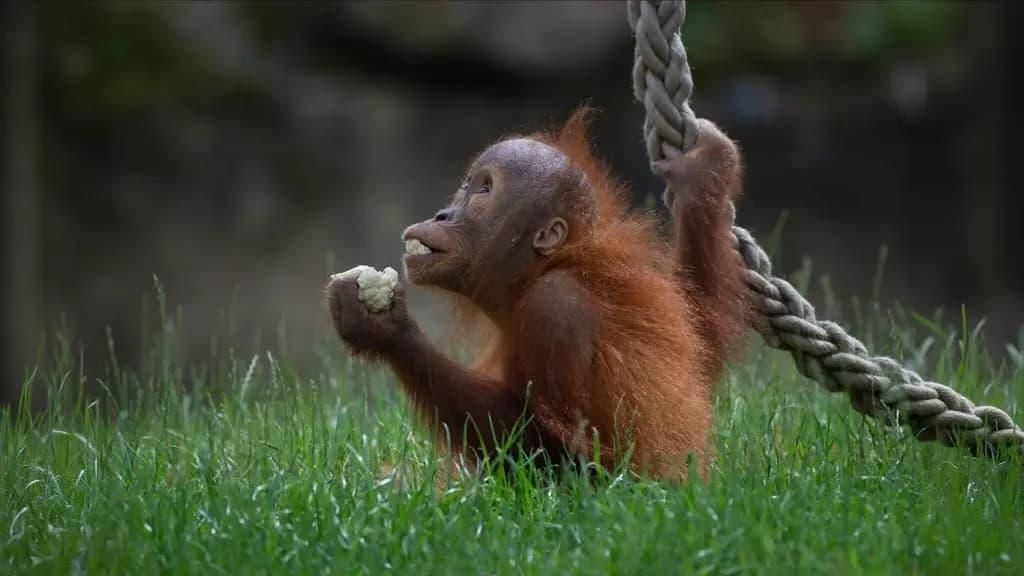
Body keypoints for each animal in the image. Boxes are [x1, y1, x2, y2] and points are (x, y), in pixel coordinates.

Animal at [327, 110, 747, 479]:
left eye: (484, 190)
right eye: (465, 186)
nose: (442, 215)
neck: (543, 270)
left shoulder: (556, 310)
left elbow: (568, 451)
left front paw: (384, 328)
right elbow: (698, 338)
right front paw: (704, 174)